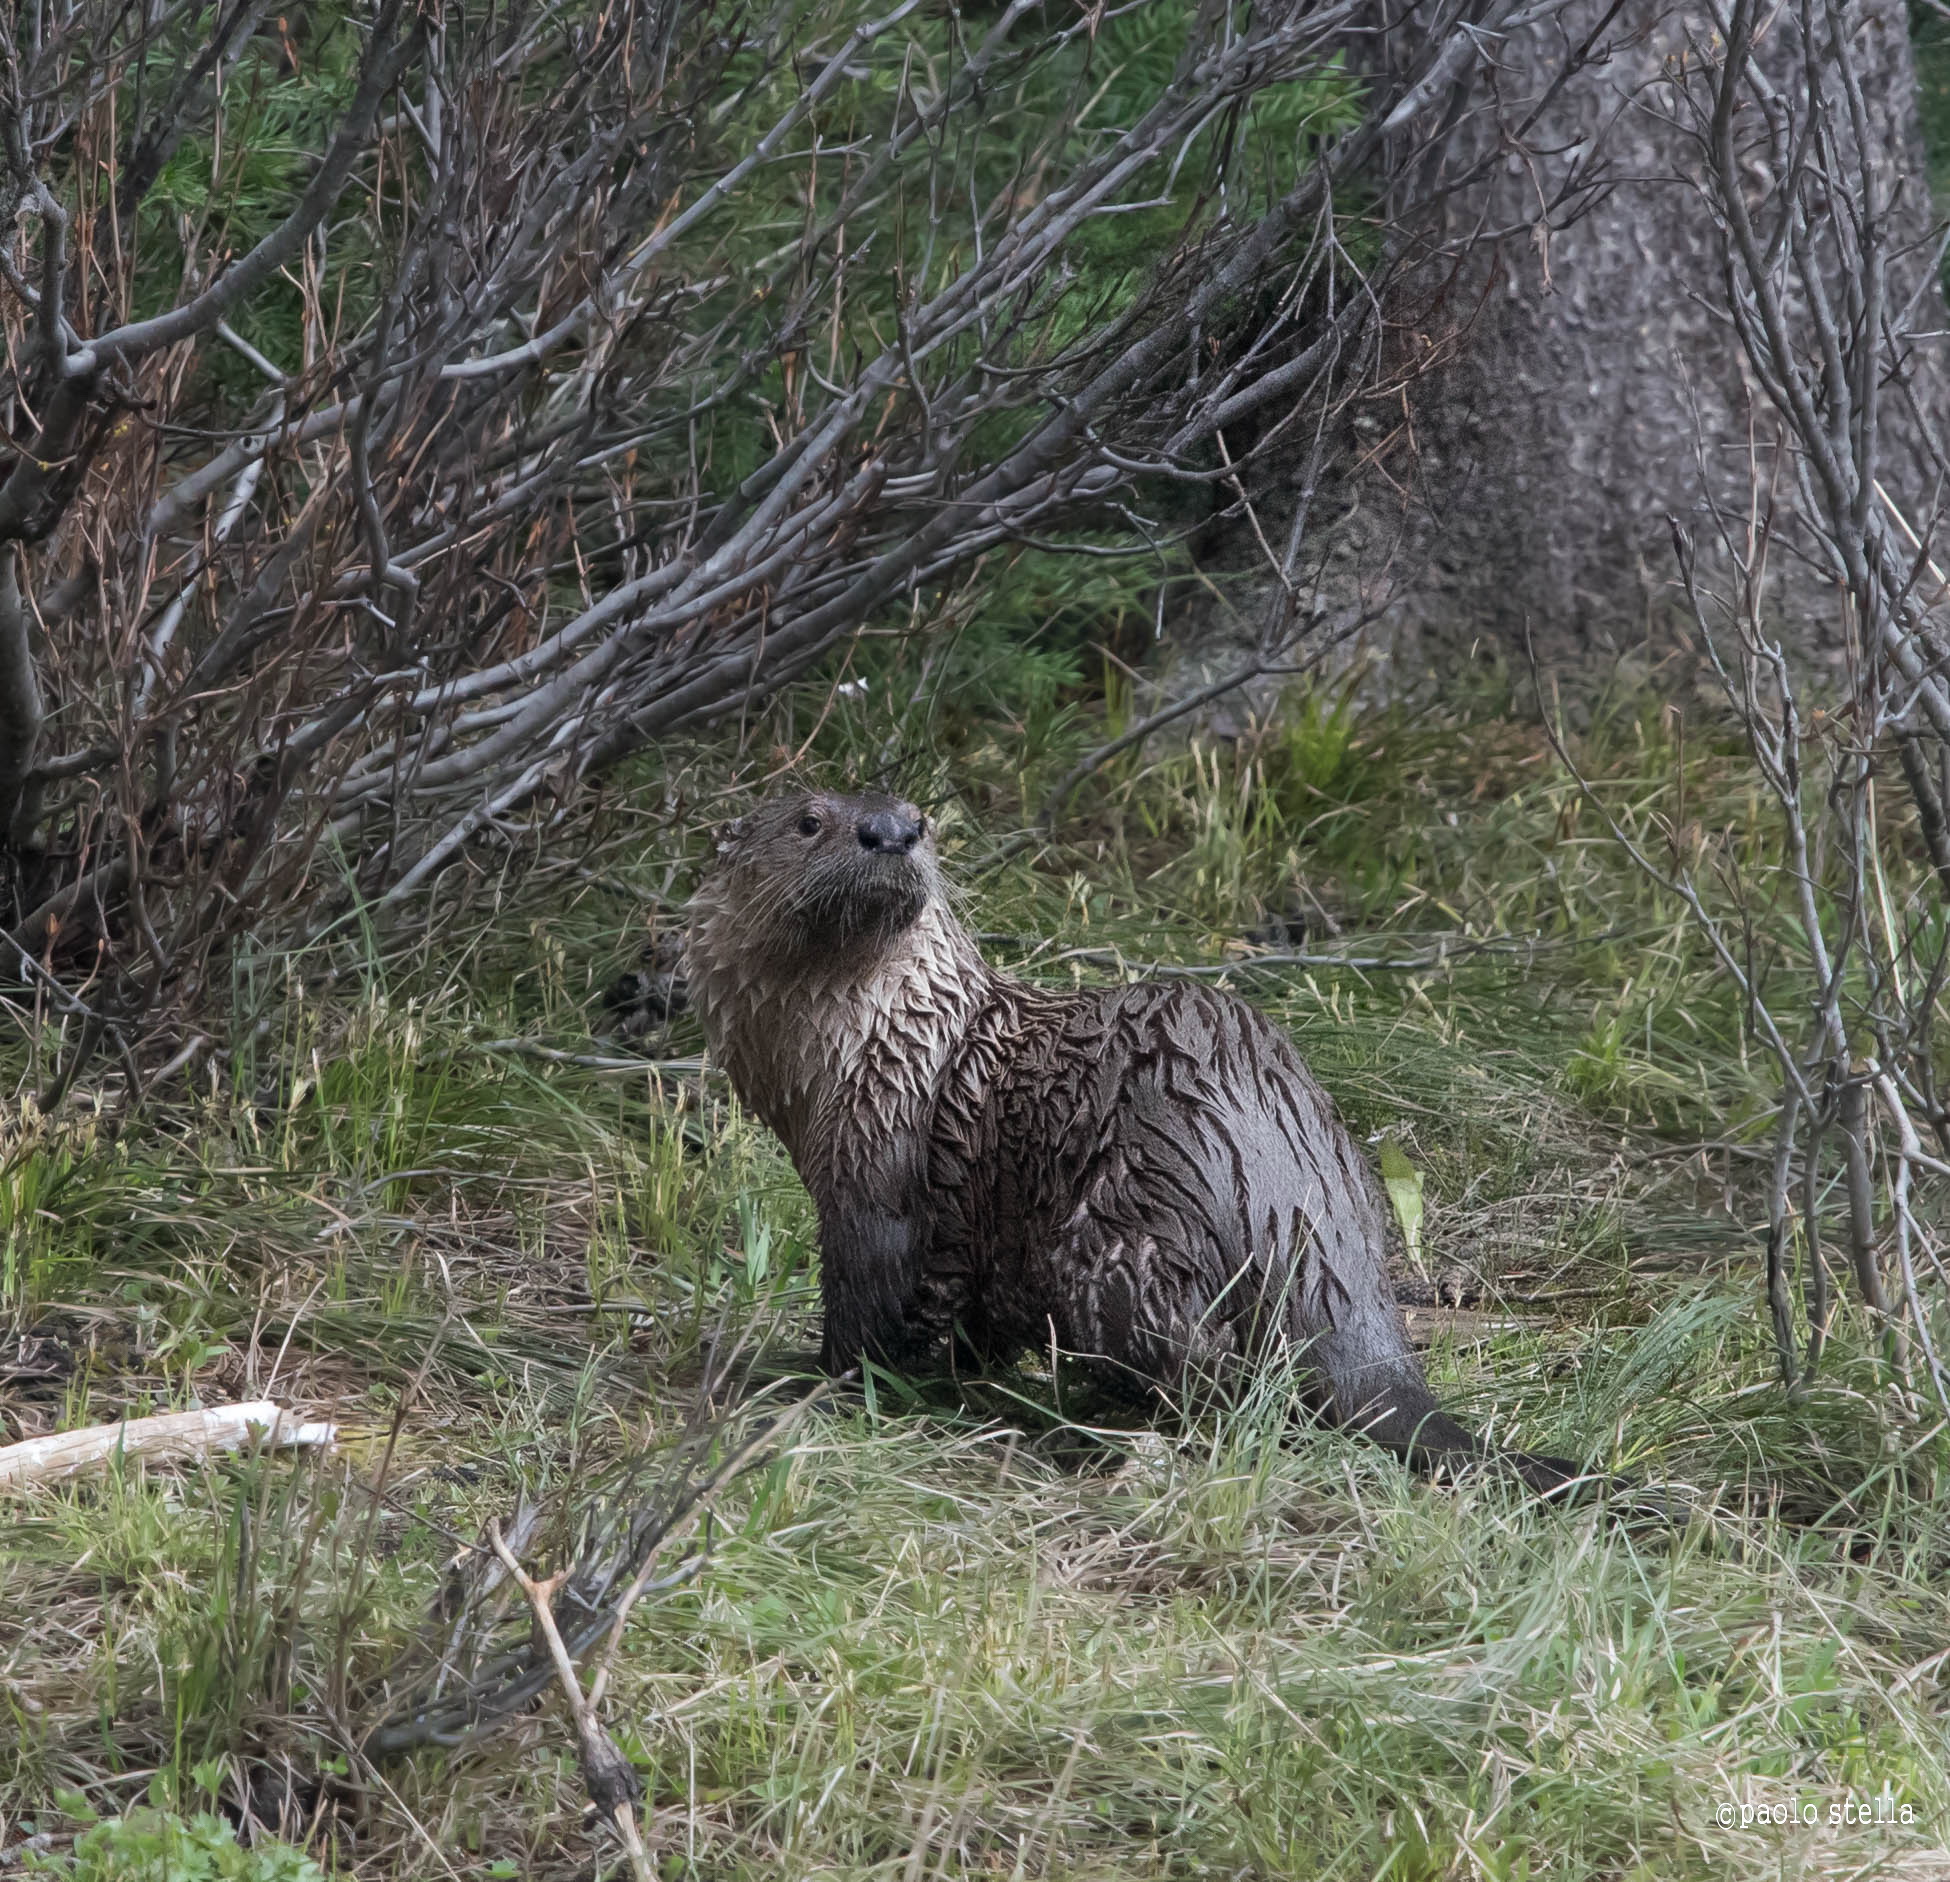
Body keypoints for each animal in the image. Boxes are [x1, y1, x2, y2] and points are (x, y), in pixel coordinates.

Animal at [687, 787, 1581, 1490]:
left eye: (921, 816)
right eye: (810, 821)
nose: (890, 832)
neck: (886, 1047)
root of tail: (1292, 1201)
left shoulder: (873, 1181)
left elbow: (865, 1308)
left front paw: (804, 1385)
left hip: (1114, 1242)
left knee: (1220, 1378)